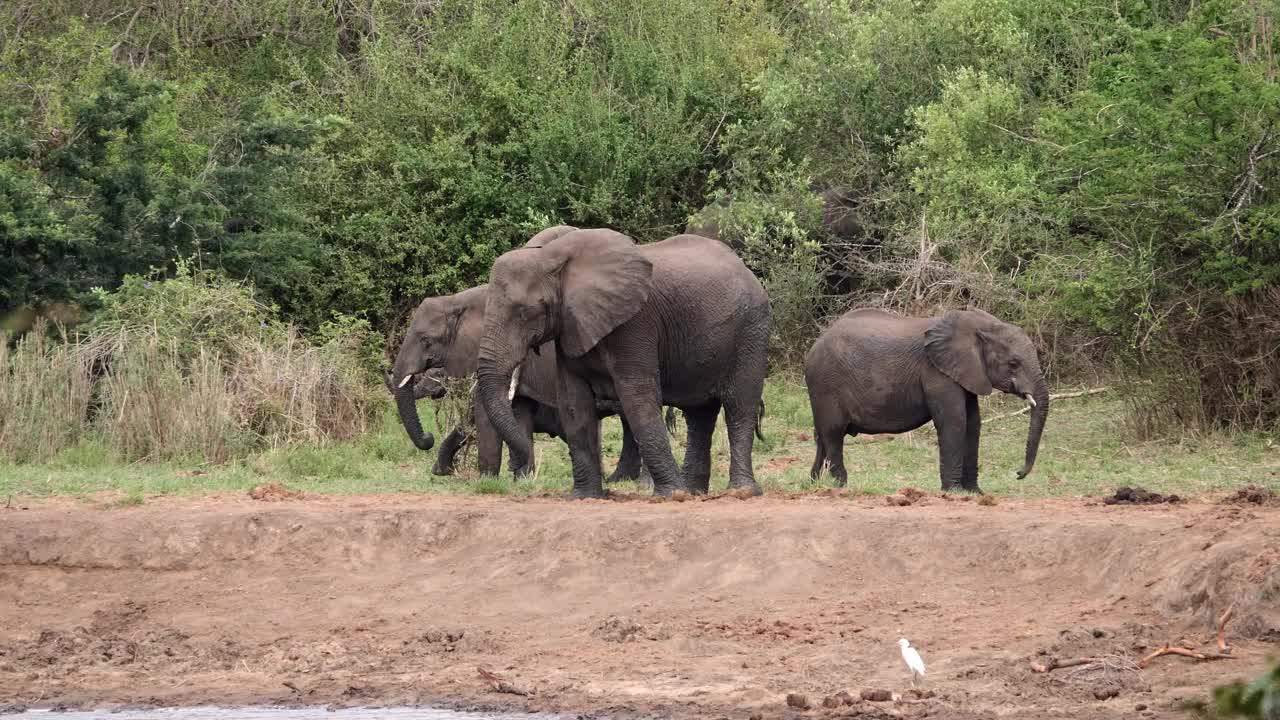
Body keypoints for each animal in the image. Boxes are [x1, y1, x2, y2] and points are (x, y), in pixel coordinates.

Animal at [473, 226, 762, 497]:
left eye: (524, 312)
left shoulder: (636, 324)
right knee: (699, 414)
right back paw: (695, 492)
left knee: (739, 405)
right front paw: (584, 497)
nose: (516, 468)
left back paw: (741, 491)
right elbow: (573, 403)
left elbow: (637, 398)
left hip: (750, 331)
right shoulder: (570, 327)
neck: (553, 258)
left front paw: (671, 495)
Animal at [798, 304, 1049, 489]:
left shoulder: (966, 373)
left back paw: (814, 484)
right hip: (826, 382)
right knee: (833, 433)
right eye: (1013, 364)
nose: (1017, 473)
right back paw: (840, 486)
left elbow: (973, 423)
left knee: (821, 435)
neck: (978, 325)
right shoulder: (936, 372)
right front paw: (953, 492)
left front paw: (975, 493)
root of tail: (814, 346)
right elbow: (954, 422)